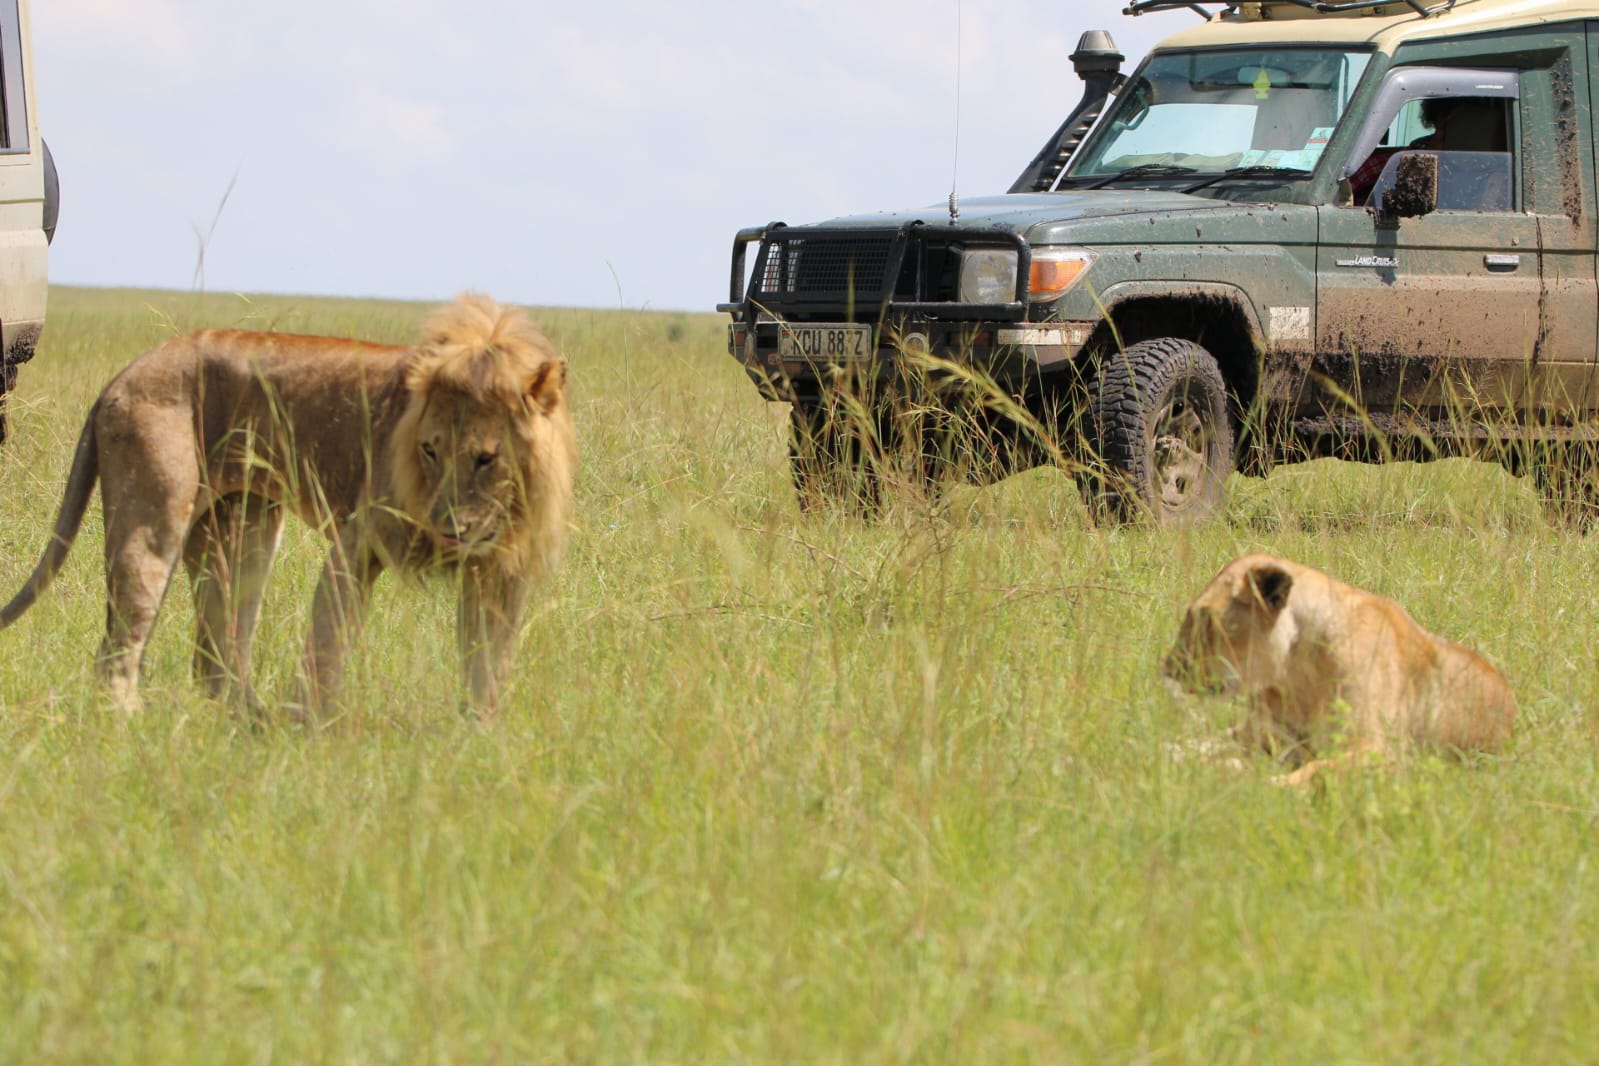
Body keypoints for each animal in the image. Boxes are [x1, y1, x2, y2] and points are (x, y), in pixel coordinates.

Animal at [0, 293, 576, 719]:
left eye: (485, 459)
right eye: (429, 450)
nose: (445, 530)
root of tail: (121, 375)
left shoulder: (500, 573)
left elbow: (487, 667)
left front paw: (478, 740)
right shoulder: (357, 542)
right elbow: (327, 646)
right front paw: (316, 731)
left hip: (244, 529)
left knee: (216, 652)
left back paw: (248, 722)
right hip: (153, 521)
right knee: (119, 647)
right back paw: (132, 723)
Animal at [1162, 553, 1515, 786]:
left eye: (1204, 618)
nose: (1168, 669)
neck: (1294, 674)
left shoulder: (1382, 750)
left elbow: (1307, 774)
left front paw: (1253, 783)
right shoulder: (1264, 736)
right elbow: (1197, 747)